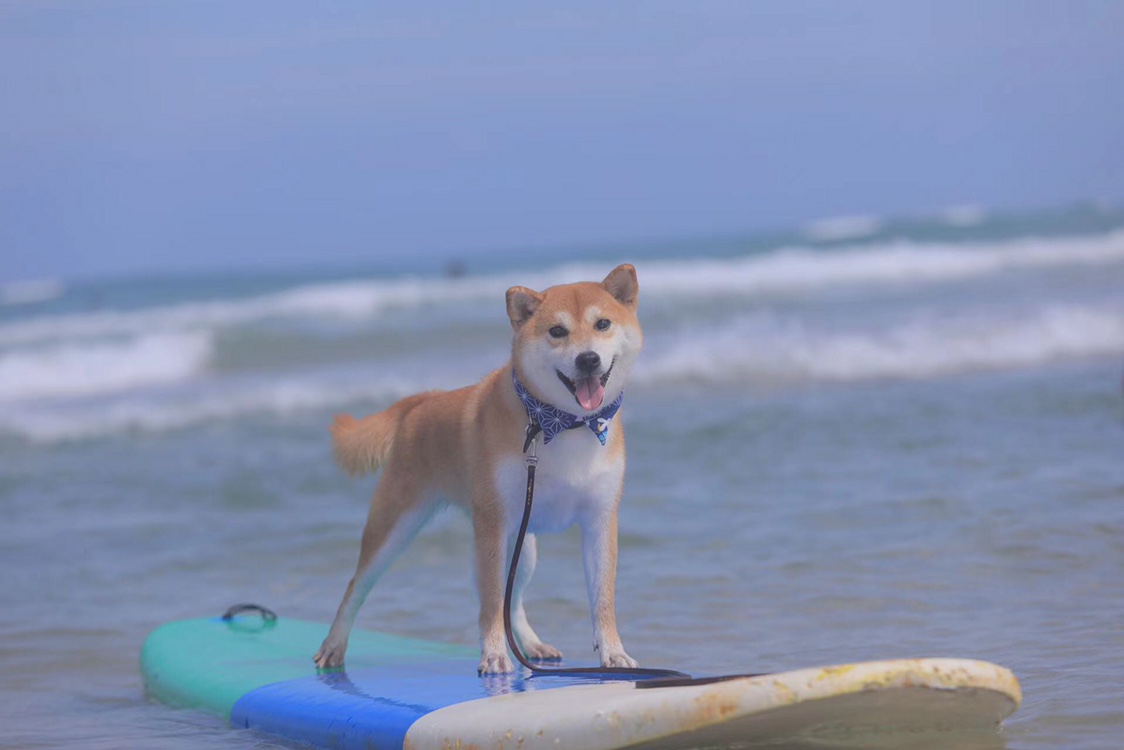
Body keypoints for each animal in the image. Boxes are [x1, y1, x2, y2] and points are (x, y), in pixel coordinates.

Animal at [312, 265, 647, 674]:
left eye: (602, 324)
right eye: (557, 331)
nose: (587, 359)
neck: (563, 424)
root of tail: (422, 402)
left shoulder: (599, 519)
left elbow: (602, 599)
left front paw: (613, 652)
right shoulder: (493, 524)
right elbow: (489, 602)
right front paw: (494, 654)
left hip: (524, 546)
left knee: (512, 601)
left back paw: (532, 644)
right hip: (397, 528)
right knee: (356, 585)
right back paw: (333, 644)